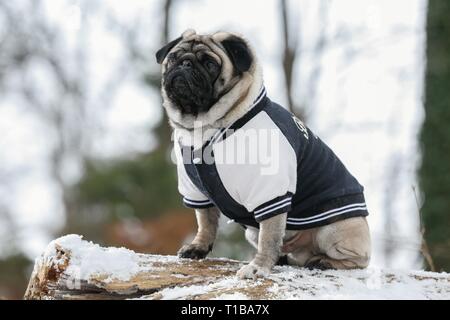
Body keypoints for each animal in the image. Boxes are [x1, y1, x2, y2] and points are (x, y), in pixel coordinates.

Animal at [156, 30, 370, 280]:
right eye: (173, 57)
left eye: (210, 64)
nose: (185, 63)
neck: (204, 128)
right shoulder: (197, 193)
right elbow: (206, 223)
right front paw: (198, 247)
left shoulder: (269, 192)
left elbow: (268, 237)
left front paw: (258, 267)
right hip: (253, 233)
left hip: (335, 228)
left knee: (358, 260)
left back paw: (323, 261)